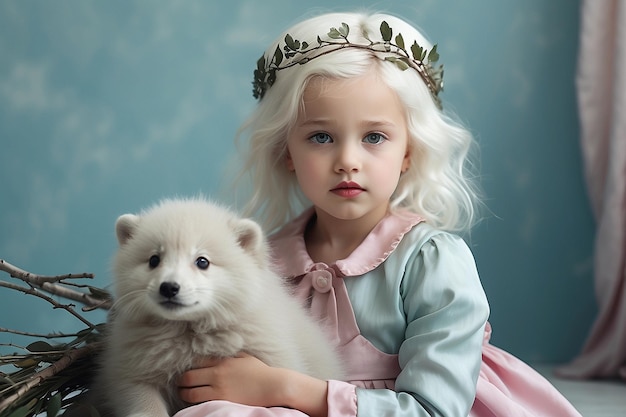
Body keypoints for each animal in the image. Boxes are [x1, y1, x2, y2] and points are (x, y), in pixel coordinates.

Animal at [96, 198, 342, 416]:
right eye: (154, 260)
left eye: (202, 261)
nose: (169, 287)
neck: (189, 332)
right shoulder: (132, 370)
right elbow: (142, 399)